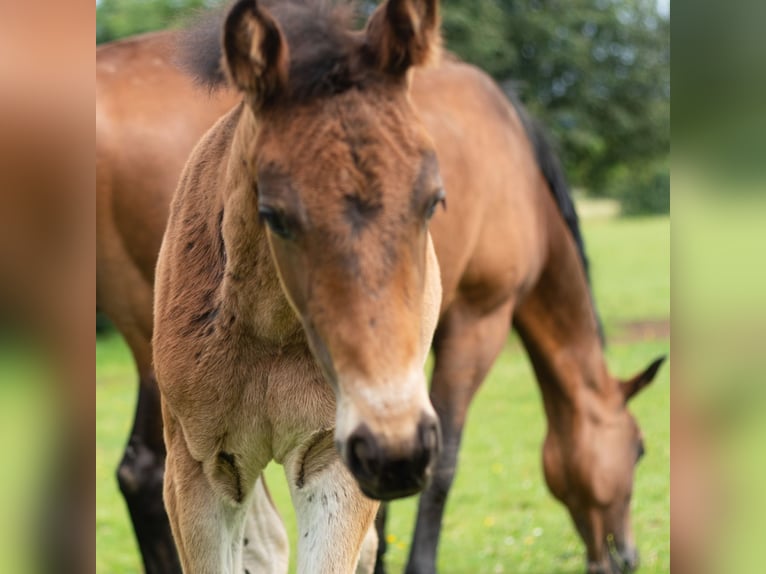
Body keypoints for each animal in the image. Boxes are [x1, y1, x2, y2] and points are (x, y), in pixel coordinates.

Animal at [96, 1, 664, 574]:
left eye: (435, 201)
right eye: (639, 448)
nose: (626, 555)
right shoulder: (480, 317)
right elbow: (446, 463)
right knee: (148, 470)